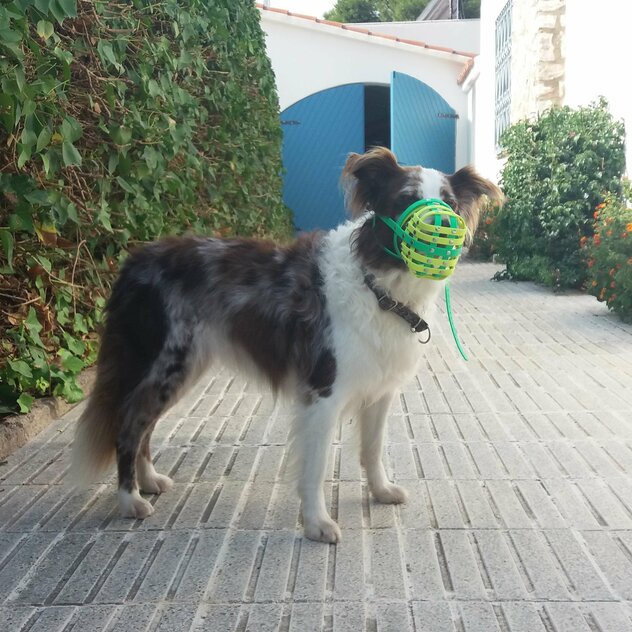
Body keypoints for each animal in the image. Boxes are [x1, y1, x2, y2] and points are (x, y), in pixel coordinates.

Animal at [70, 148, 504, 544]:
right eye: (406, 200)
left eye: (449, 203)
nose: (443, 223)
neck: (377, 283)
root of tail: (135, 260)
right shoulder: (323, 391)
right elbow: (316, 466)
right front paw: (317, 523)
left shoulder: (380, 388)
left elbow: (373, 447)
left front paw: (380, 491)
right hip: (163, 364)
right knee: (129, 426)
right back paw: (129, 500)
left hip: (183, 368)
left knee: (143, 425)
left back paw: (149, 480)